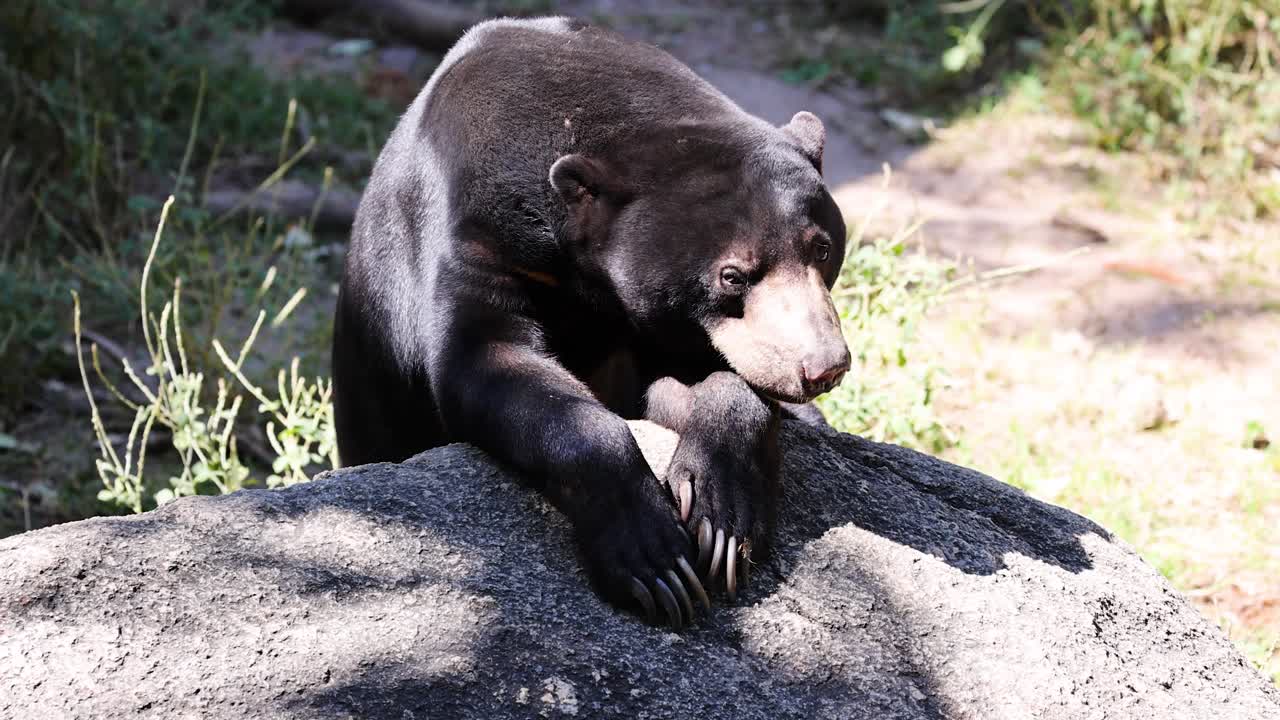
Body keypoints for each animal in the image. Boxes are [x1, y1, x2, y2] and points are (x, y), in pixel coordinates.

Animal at [332, 17, 851, 629]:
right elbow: (486, 362)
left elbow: (707, 383)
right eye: (732, 275)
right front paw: (658, 562)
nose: (823, 367)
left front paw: (722, 518)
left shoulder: (657, 325)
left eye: (822, 249)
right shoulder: (474, 241)